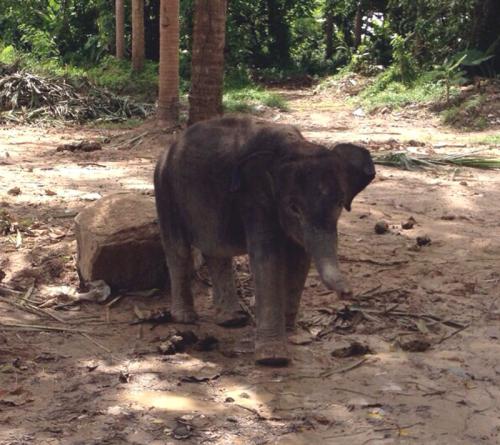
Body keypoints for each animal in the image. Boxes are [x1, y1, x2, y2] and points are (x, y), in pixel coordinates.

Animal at [153, 116, 376, 366]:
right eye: (293, 207)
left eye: (339, 203)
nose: (348, 293)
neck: (293, 146)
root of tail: (169, 147)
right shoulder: (253, 197)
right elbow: (268, 258)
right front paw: (273, 358)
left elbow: (299, 259)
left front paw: (292, 334)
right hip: (165, 187)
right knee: (178, 249)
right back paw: (186, 318)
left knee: (216, 249)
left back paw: (231, 319)